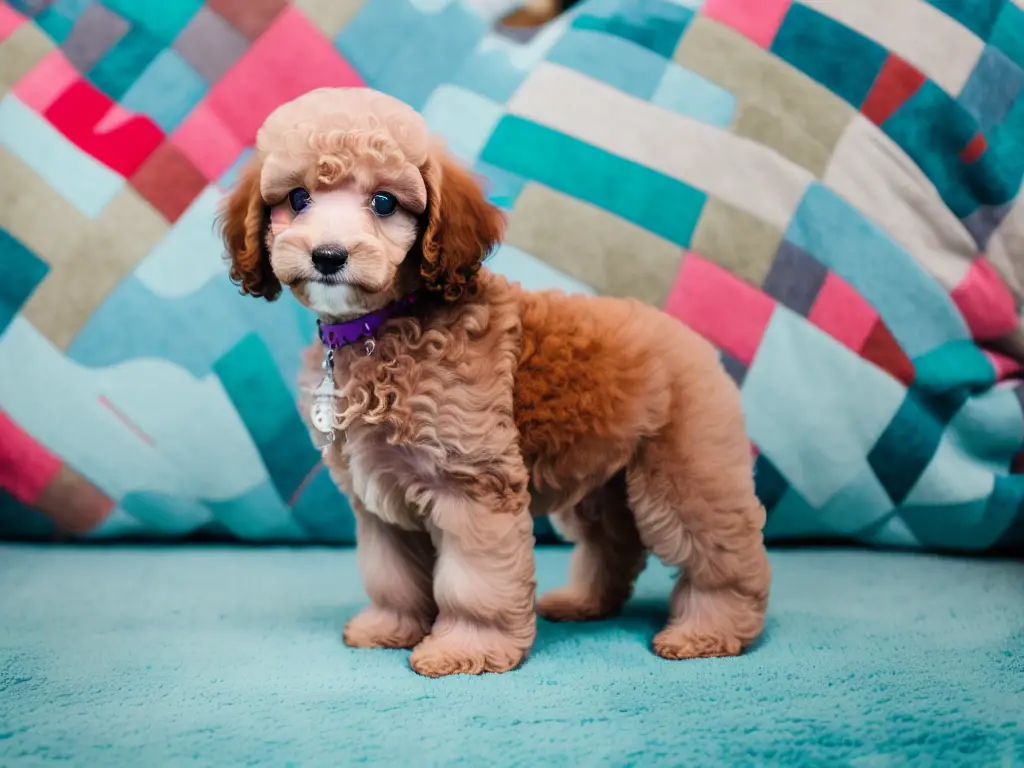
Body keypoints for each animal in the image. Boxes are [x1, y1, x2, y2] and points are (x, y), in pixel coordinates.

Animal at [220, 88, 770, 679]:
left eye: (384, 203)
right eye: (298, 198)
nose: (327, 256)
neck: (382, 328)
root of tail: (689, 339)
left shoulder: (471, 486)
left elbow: (472, 583)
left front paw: (465, 648)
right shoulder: (379, 498)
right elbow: (392, 575)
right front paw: (389, 627)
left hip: (686, 474)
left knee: (725, 557)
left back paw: (707, 630)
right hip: (603, 479)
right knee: (614, 542)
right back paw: (585, 602)